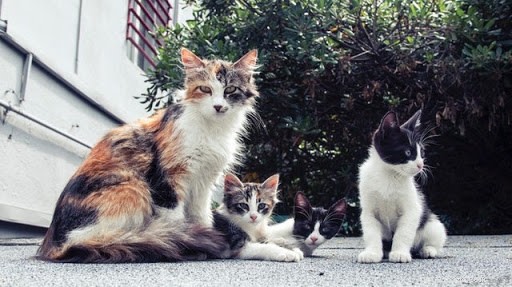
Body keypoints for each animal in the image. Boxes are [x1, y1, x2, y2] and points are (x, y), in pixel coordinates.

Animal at [36, 48, 260, 264]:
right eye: (205, 89)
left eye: (230, 90)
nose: (218, 106)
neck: (213, 130)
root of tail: (53, 244)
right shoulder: (168, 178)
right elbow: (176, 221)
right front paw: (189, 244)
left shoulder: (203, 182)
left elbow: (201, 217)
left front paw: (204, 240)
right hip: (134, 189)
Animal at [358, 111, 446, 266]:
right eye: (408, 152)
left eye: (422, 153)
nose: (421, 165)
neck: (389, 175)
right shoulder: (368, 210)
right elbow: (371, 232)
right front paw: (371, 253)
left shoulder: (412, 209)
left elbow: (403, 232)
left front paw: (399, 253)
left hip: (433, 224)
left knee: (435, 237)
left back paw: (427, 250)